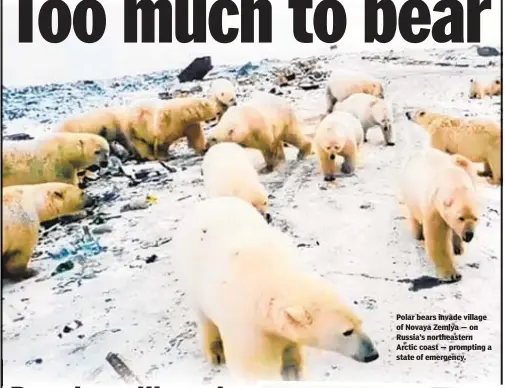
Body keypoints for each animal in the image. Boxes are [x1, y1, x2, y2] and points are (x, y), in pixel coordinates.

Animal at [173, 197, 378, 382]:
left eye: (360, 322)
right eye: (347, 331)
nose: (373, 354)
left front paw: (293, 370)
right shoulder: (247, 325)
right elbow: (256, 368)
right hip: (190, 276)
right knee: (205, 318)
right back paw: (215, 352)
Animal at [398, 149, 476, 282]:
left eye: (476, 219)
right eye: (461, 218)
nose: (469, 235)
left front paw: (458, 248)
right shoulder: (434, 206)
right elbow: (438, 238)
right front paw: (452, 274)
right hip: (412, 198)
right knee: (415, 217)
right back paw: (418, 235)